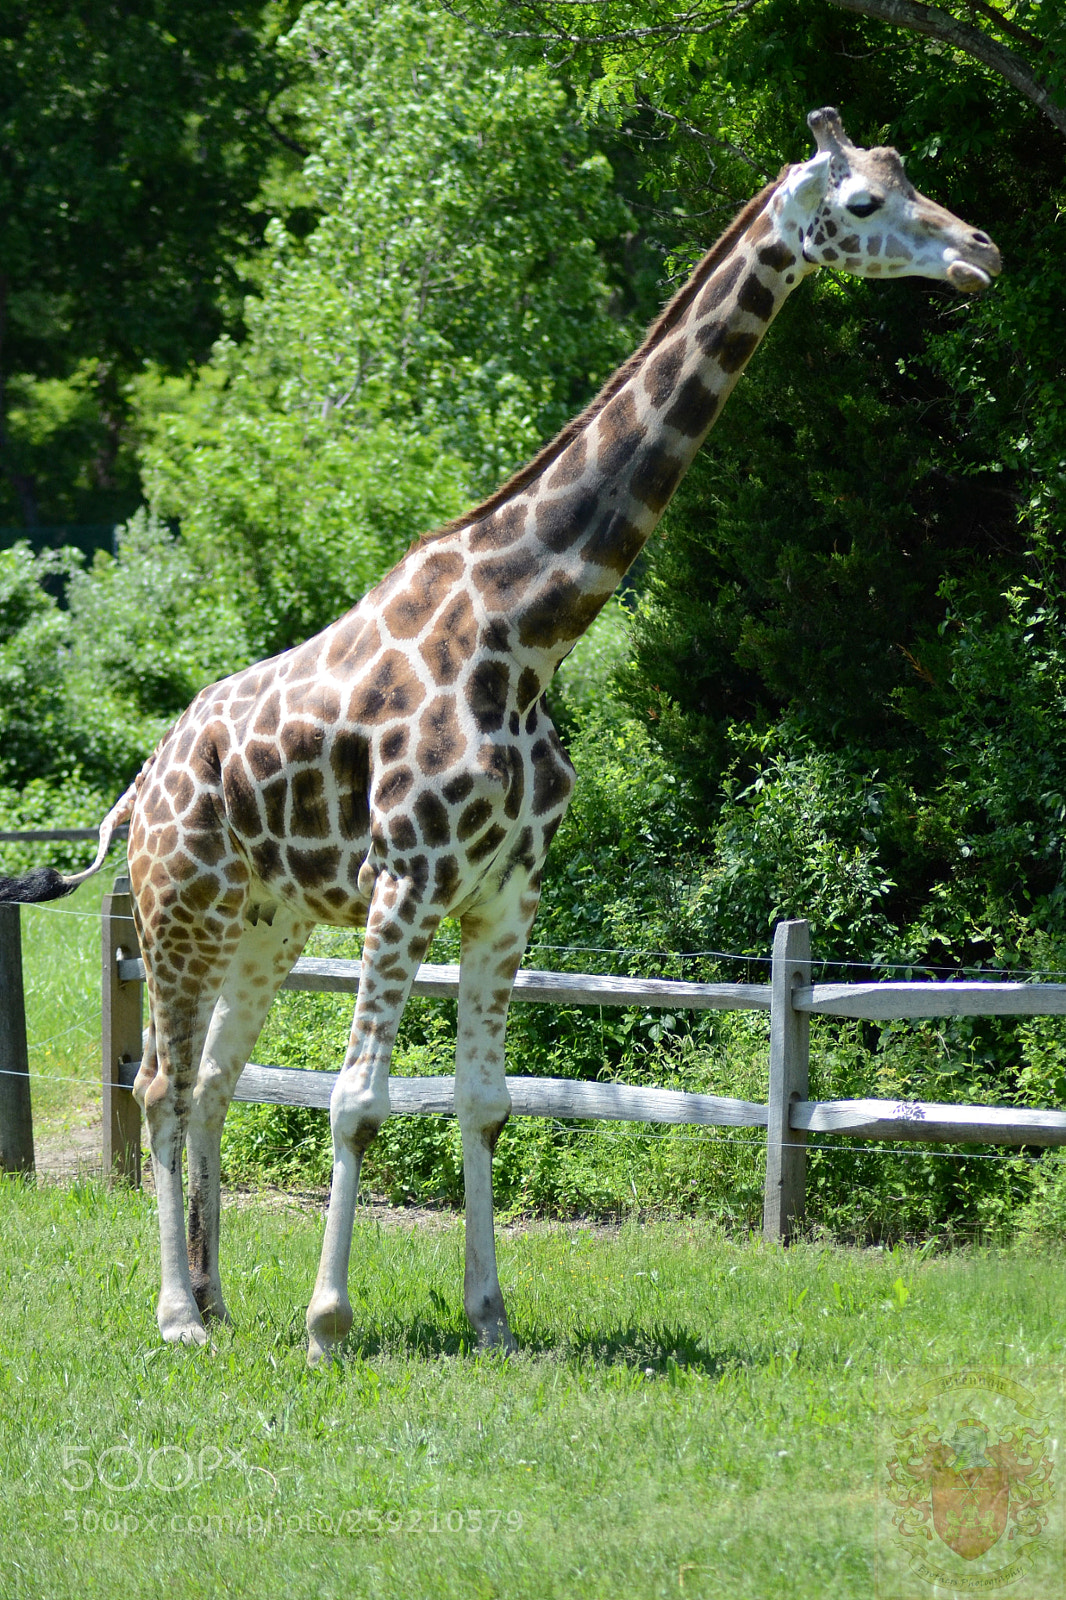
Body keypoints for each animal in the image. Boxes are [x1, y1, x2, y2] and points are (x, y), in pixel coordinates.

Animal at [0, 108, 999, 1362]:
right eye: (863, 203)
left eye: (909, 178)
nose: (981, 252)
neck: (527, 635)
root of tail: (137, 786)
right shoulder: (406, 882)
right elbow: (359, 1103)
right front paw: (330, 1321)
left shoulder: (506, 895)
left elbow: (483, 1104)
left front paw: (491, 1318)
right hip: (180, 911)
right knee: (159, 1088)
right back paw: (179, 1313)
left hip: (268, 925)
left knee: (221, 1080)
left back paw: (222, 1298)